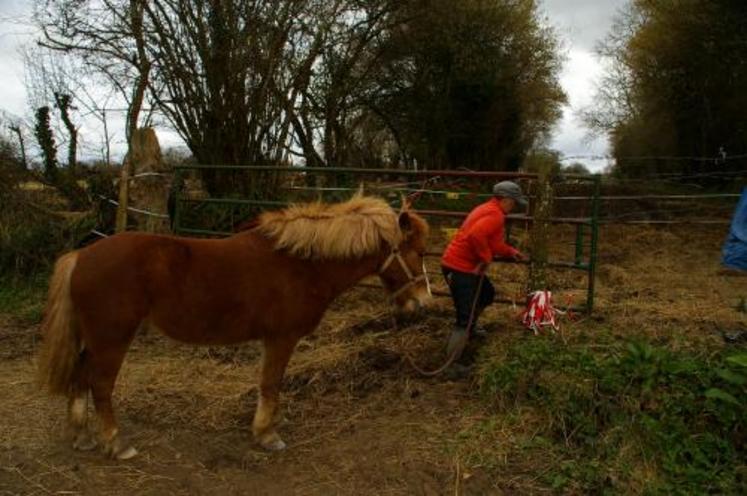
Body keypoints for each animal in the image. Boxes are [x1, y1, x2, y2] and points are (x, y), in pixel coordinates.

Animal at [36, 196, 432, 460]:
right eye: (418, 252)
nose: (424, 303)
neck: (301, 264)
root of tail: (81, 256)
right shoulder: (281, 339)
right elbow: (270, 384)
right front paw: (267, 435)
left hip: (94, 340)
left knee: (81, 377)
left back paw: (83, 436)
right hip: (112, 339)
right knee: (100, 385)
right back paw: (116, 443)